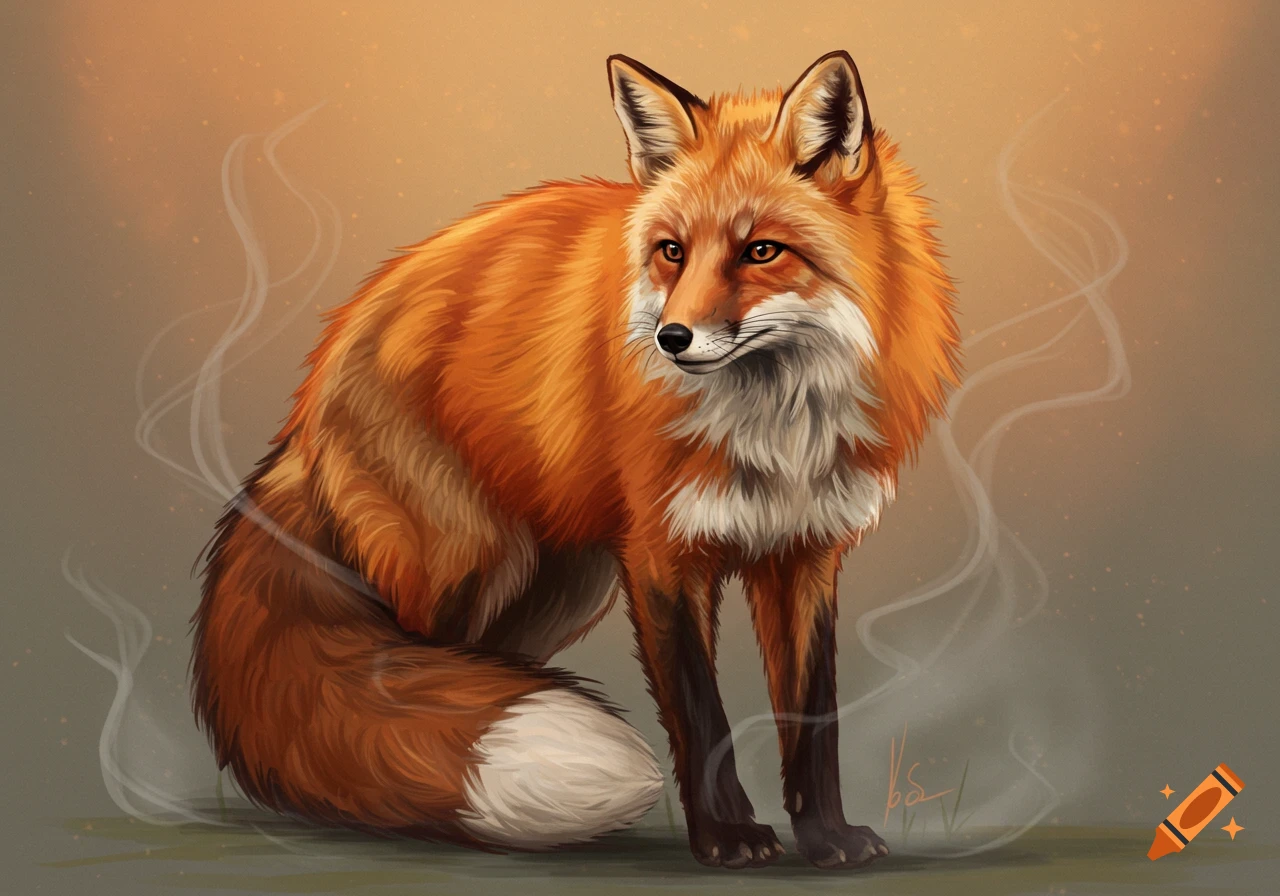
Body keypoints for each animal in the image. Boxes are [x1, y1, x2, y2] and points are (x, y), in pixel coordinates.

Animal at [191, 51, 961, 870]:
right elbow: (700, 712)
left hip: (558, 584)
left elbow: (814, 717)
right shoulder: (661, 553)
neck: (776, 426)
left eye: (761, 251)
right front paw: (726, 837)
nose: (671, 338)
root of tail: (305, 414)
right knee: (402, 685)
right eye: (672, 251)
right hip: (472, 561)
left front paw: (826, 838)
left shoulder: (805, 550)